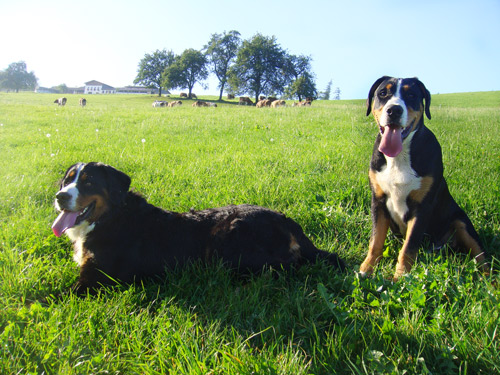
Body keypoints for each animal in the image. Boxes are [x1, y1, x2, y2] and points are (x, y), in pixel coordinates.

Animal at [52, 163, 346, 296]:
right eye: (67, 180)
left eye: (88, 182)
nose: (60, 196)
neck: (111, 217)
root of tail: (287, 221)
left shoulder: (96, 277)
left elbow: (55, 298)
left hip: (228, 239)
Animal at [358, 76, 490, 280]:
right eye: (383, 93)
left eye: (411, 95)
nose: (394, 110)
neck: (400, 156)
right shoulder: (378, 201)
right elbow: (376, 240)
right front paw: (367, 269)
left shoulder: (421, 207)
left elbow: (408, 247)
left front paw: (401, 277)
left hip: (461, 221)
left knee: (482, 258)